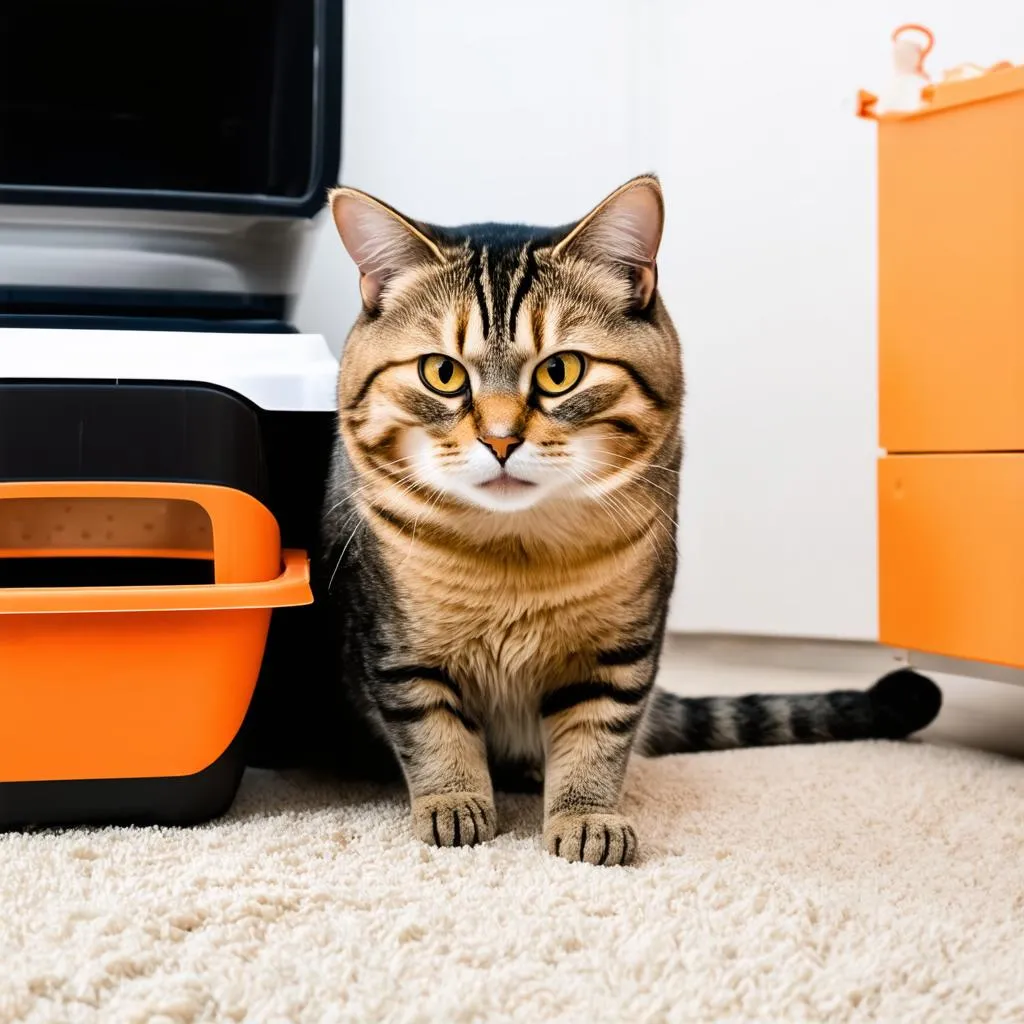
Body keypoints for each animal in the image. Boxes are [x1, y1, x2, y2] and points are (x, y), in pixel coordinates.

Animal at [321, 176, 942, 864]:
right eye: (442, 373)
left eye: (560, 371)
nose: (501, 439)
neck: (513, 555)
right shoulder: (400, 649)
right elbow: (434, 733)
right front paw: (454, 806)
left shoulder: (617, 651)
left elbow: (596, 739)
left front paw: (586, 818)